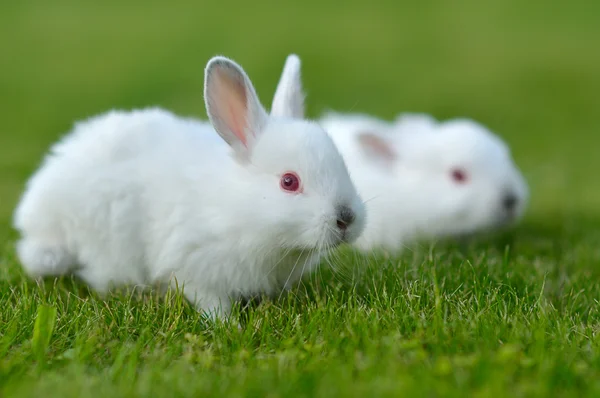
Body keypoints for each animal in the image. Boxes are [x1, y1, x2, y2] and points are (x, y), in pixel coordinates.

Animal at [14, 53, 366, 318]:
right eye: (289, 182)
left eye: (343, 164)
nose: (346, 218)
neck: (240, 206)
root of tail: (37, 219)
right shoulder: (194, 267)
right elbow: (210, 301)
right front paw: (228, 325)